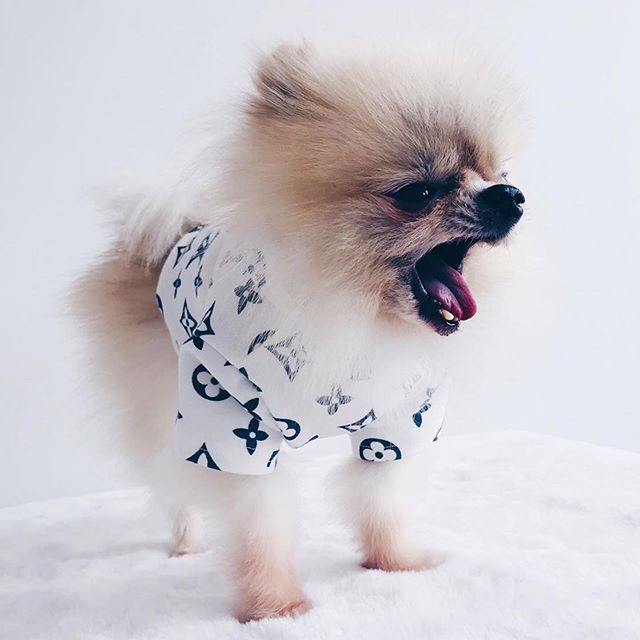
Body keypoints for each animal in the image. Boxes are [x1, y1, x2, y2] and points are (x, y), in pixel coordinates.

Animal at [74, 41, 524, 620]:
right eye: (418, 192)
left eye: (497, 171)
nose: (510, 195)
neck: (352, 314)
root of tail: (168, 238)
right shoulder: (232, 429)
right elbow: (260, 526)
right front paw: (276, 606)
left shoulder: (396, 423)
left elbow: (382, 502)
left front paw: (396, 564)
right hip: (164, 400)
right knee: (171, 481)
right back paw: (185, 543)